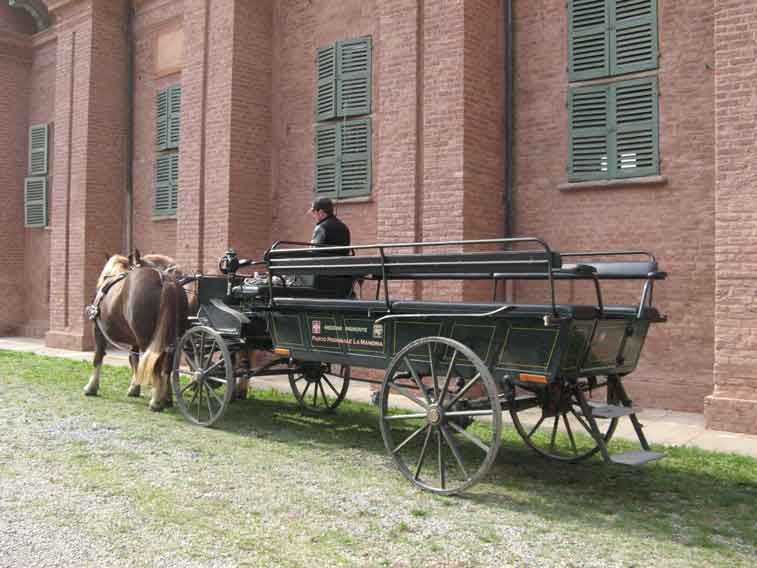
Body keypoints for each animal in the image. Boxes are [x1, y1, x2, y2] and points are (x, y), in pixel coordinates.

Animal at [81, 252, 189, 408]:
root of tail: (164, 280)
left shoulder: (98, 331)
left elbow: (98, 356)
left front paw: (91, 387)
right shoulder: (135, 340)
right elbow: (134, 360)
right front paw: (135, 387)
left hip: (147, 338)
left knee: (156, 363)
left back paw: (156, 401)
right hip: (174, 337)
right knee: (167, 365)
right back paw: (166, 397)